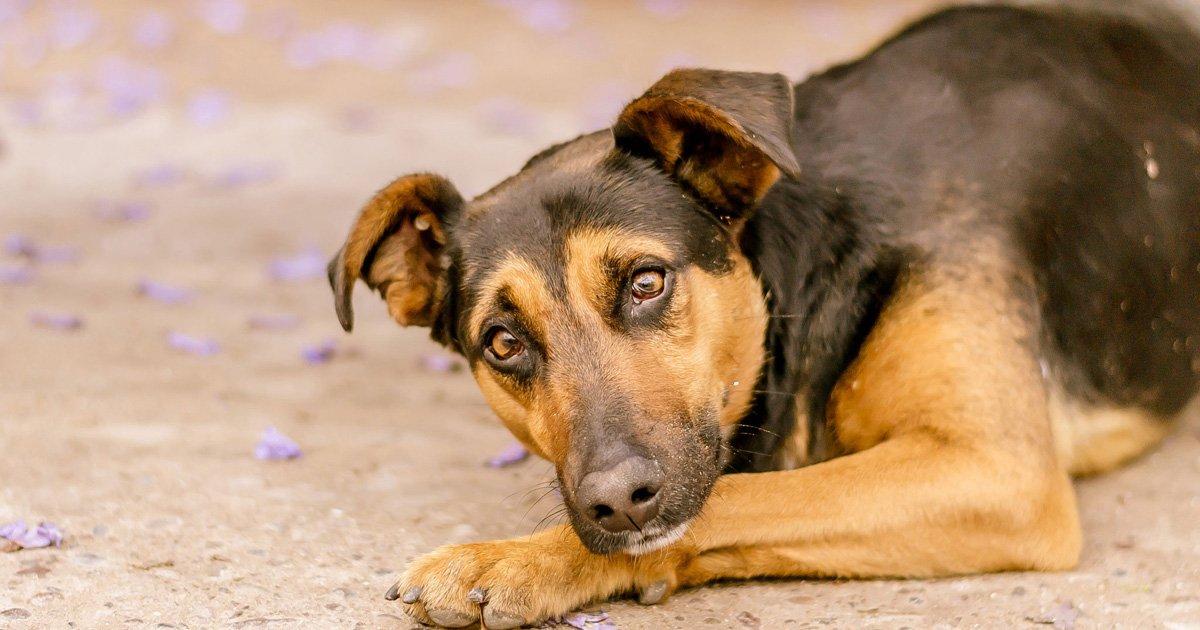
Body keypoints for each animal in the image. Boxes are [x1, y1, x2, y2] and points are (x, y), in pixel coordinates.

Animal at [326, 3, 1200, 624]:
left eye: (646, 282)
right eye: (503, 343)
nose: (616, 497)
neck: (814, 263)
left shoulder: (993, 468)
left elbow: (741, 497)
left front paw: (512, 558)